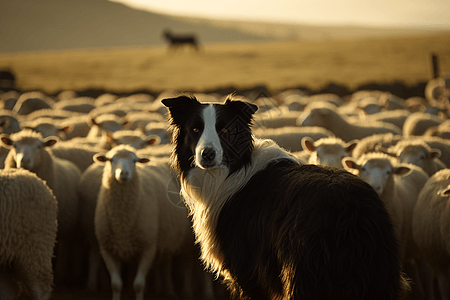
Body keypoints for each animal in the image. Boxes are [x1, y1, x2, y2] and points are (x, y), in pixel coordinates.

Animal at [93, 144, 193, 298]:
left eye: (135, 161)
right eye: (111, 160)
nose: (124, 173)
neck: (122, 222)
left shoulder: (148, 247)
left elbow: (138, 285)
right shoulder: (107, 249)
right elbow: (116, 285)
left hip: (179, 240)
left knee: (180, 265)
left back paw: (179, 291)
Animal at [163, 95, 412, 300]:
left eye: (225, 131)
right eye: (195, 130)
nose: (207, 154)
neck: (232, 171)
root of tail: (352, 209)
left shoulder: (249, 273)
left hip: (304, 277)